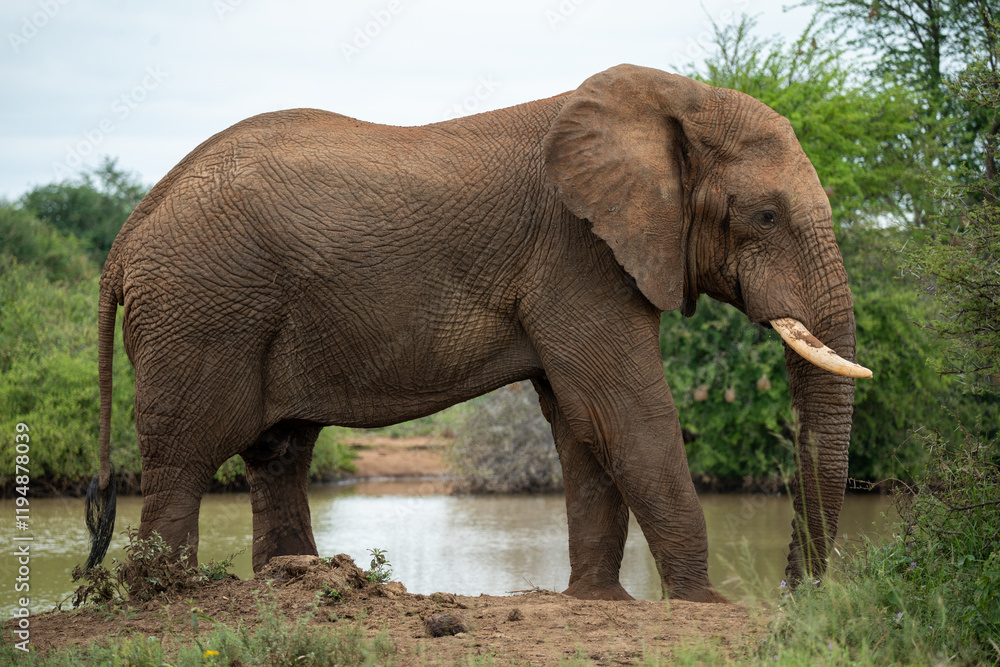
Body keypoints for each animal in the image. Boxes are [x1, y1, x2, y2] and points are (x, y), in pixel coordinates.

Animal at [84, 64, 870, 603]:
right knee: (186, 455)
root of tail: (127, 233)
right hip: (203, 310)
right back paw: (170, 595)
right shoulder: (576, 252)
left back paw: (299, 582)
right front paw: (703, 605)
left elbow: (581, 423)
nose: (793, 594)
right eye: (765, 215)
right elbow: (623, 411)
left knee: (279, 451)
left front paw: (598, 600)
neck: (670, 99)